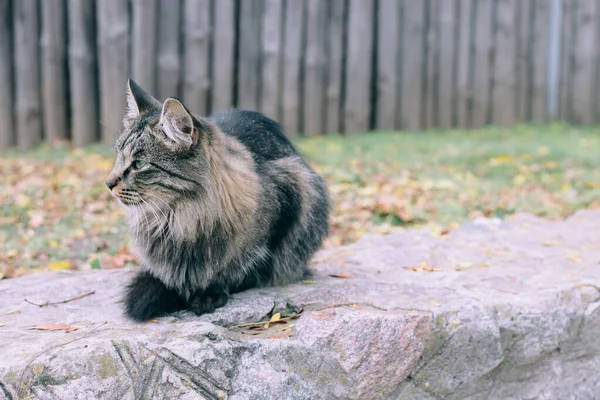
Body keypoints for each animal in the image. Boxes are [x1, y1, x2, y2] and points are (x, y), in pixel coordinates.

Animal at [109, 79, 332, 322]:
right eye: (118, 156)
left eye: (139, 164)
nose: (108, 183)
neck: (180, 218)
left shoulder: (288, 197)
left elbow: (241, 269)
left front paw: (208, 294)